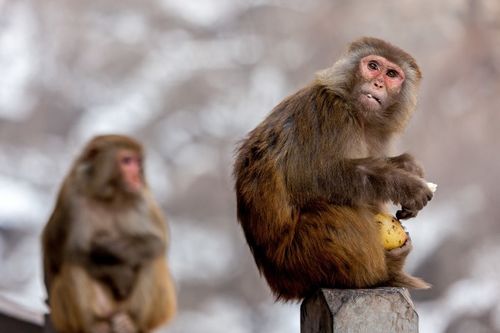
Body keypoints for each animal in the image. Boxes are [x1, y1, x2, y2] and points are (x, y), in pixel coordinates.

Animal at [42, 134, 177, 332]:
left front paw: (113, 250)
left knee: (152, 256)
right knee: (74, 261)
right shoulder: (71, 198)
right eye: (126, 161)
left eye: (137, 162)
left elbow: (158, 241)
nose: (137, 175)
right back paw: (95, 324)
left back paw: (131, 322)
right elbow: (69, 252)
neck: (111, 196)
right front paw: (118, 271)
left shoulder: (143, 199)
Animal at [234, 37, 434, 300]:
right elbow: (314, 176)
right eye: (373, 66)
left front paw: (408, 166)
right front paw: (406, 185)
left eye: (392, 74)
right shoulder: (332, 114)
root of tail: (281, 284)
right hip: (300, 257)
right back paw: (381, 274)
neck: (358, 115)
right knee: (337, 212)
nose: (378, 83)